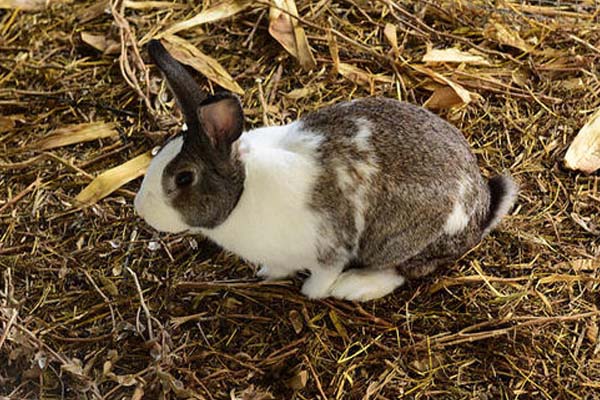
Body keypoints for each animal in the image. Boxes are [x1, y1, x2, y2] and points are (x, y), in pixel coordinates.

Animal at [134, 39, 516, 300]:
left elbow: (323, 274)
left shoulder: (330, 247)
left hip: (404, 238)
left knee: (405, 269)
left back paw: (356, 286)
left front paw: (312, 292)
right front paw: (266, 274)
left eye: (184, 177)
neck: (244, 187)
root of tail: (482, 210)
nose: (140, 208)